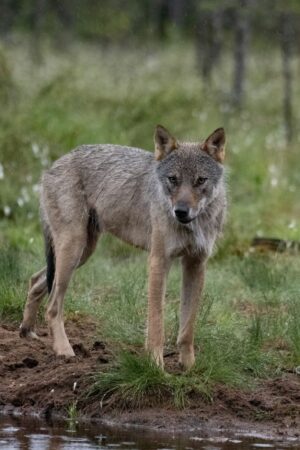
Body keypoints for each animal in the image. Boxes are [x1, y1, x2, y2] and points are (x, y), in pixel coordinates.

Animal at [19, 125, 226, 370]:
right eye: (173, 179)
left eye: (200, 180)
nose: (181, 211)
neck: (193, 225)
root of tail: (54, 164)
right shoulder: (158, 261)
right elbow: (156, 325)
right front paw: (156, 367)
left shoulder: (196, 264)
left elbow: (187, 328)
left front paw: (189, 369)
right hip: (73, 250)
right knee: (52, 306)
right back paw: (63, 351)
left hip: (81, 253)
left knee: (35, 280)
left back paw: (27, 332)